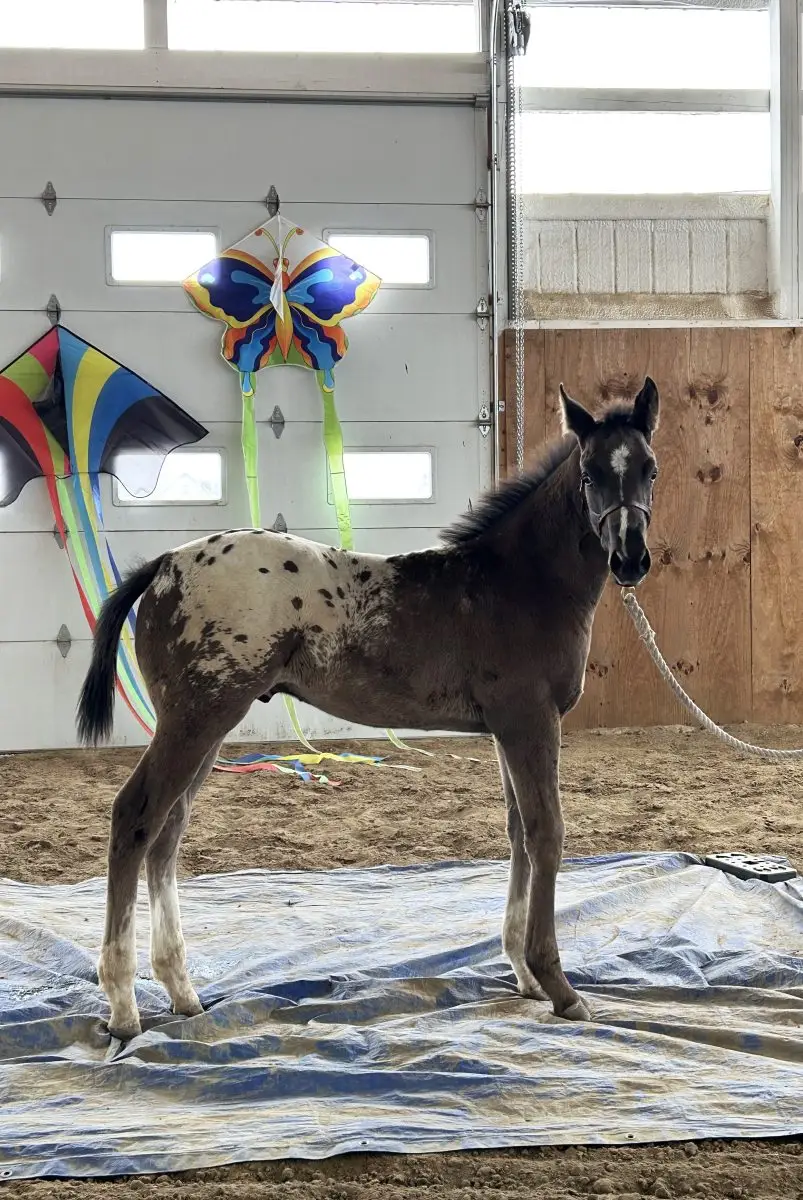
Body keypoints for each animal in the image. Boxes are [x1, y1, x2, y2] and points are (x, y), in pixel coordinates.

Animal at [77, 379, 660, 1040]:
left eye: (650, 469)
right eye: (590, 473)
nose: (631, 559)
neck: (515, 583)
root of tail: (163, 566)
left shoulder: (507, 730)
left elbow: (517, 832)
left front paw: (525, 975)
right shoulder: (531, 722)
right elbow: (546, 834)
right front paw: (558, 986)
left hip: (206, 725)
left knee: (167, 833)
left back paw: (182, 993)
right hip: (195, 719)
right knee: (135, 818)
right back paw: (123, 1006)